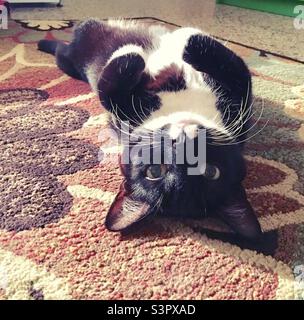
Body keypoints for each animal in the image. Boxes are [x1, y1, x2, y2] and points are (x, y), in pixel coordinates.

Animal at [37, 18, 262, 240]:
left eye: (211, 171)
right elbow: (107, 91)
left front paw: (190, 44)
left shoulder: (241, 103)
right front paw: (138, 54)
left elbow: (235, 69)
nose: (183, 144)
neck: (185, 109)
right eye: (154, 171)